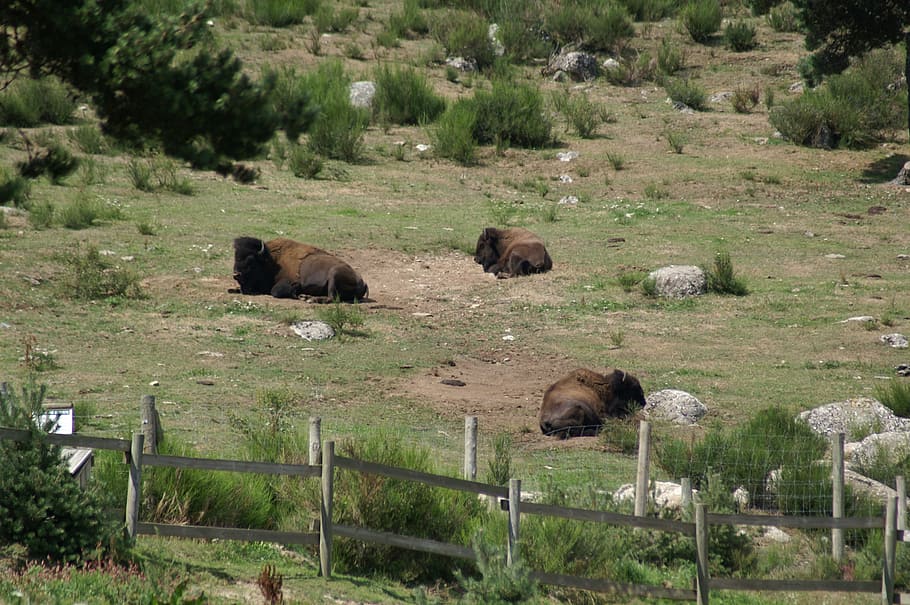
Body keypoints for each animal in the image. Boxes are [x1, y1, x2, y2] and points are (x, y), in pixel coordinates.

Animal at [232, 236, 368, 302]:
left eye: (251, 260)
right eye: (236, 257)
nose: (236, 275)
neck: (272, 261)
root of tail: (363, 282)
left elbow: (275, 291)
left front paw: (295, 293)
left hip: (334, 273)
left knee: (332, 298)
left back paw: (309, 299)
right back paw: (306, 296)